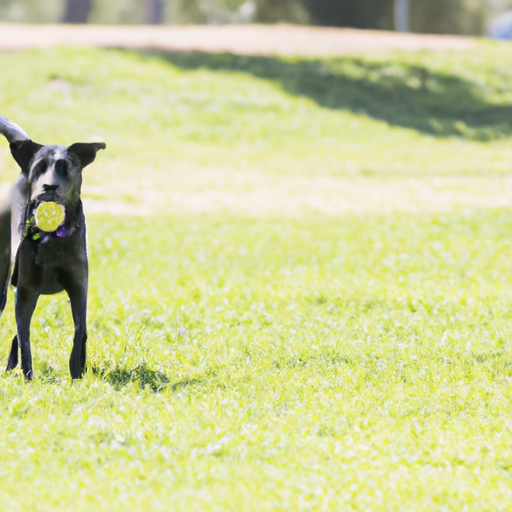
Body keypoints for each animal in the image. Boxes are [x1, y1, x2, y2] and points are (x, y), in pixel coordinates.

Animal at [0, 116, 105, 380]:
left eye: (65, 167)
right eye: (39, 167)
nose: (49, 186)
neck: (53, 237)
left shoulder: (78, 289)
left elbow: (79, 332)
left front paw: (77, 374)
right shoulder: (26, 292)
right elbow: (25, 337)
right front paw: (28, 377)